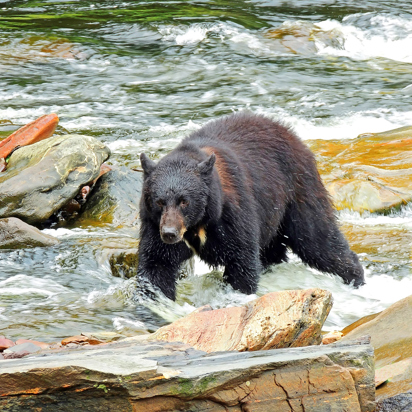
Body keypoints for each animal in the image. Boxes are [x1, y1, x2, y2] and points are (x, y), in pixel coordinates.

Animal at [138, 112, 364, 300]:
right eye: (159, 201)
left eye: (184, 201)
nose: (169, 233)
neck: (198, 224)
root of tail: (292, 134)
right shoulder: (154, 224)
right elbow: (157, 264)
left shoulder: (232, 215)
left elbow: (241, 260)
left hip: (298, 189)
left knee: (316, 239)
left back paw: (356, 277)